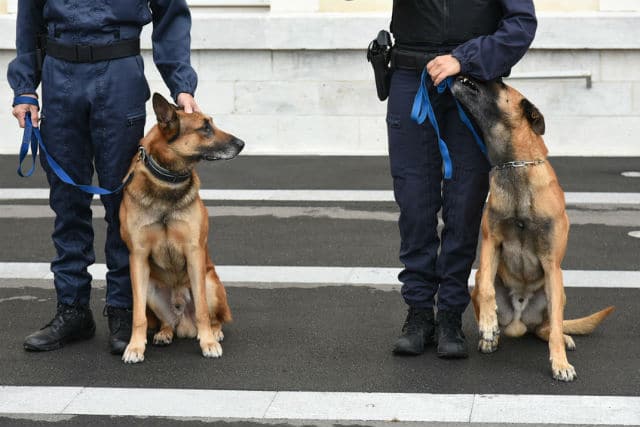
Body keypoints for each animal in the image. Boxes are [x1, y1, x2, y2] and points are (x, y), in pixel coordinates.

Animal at [119, 93, 244, 364]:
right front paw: (135, 346)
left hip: (210, 283)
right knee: (166, 322)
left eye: (211, 123)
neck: (168, 181)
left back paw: (214, 333)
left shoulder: (194, 252)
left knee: (213, 317)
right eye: (205, 127)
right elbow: (137, 316)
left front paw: (207, 343)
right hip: (151, 290)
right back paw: (164, 333)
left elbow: (203, 312)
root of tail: (183, 321)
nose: (242, 143)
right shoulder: (138, 258)